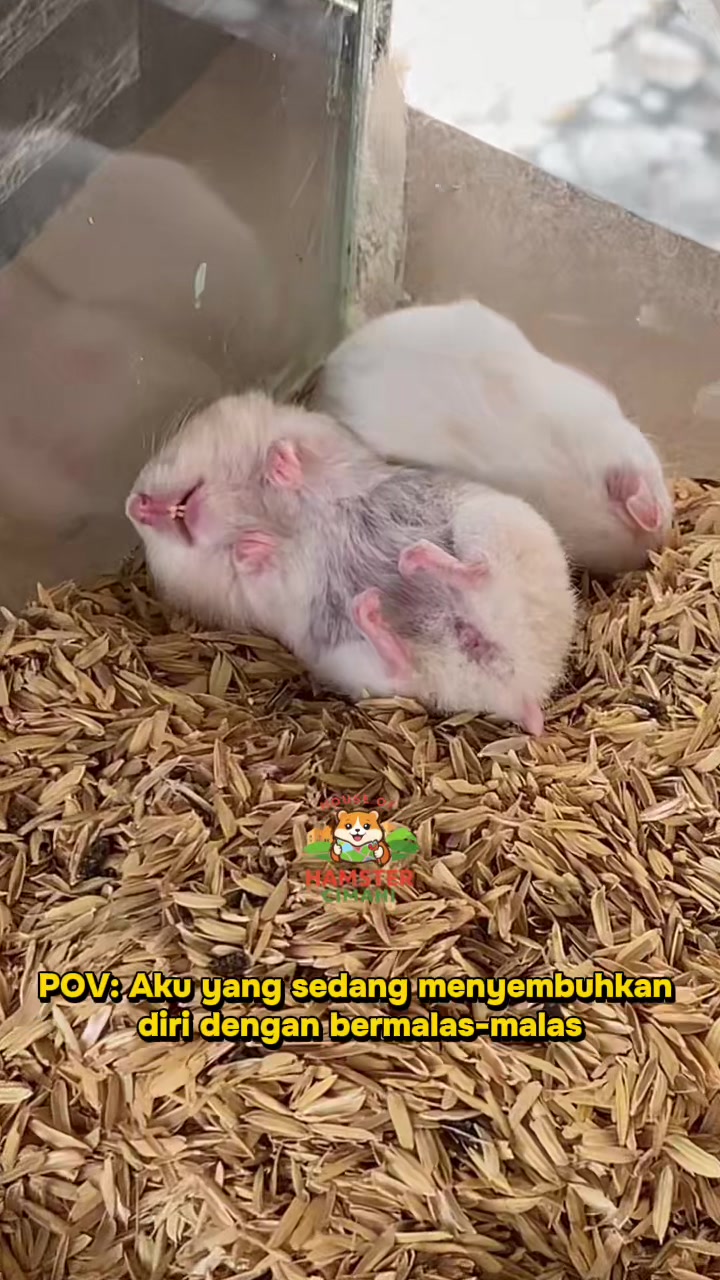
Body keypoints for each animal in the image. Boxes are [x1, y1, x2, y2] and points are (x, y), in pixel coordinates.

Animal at [126, 392, 577, 735]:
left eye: (168, 453)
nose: (134, 506)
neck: (254, 510)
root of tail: (529, 688)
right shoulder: (257, 598)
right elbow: (259, 571)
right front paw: (250, 549)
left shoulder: (328, 443)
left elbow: (302, 459)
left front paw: (278, 464)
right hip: (363, 664)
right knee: (402, 659)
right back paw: (375, 602)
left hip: (492, 524)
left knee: (478, 571)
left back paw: (412, 561)